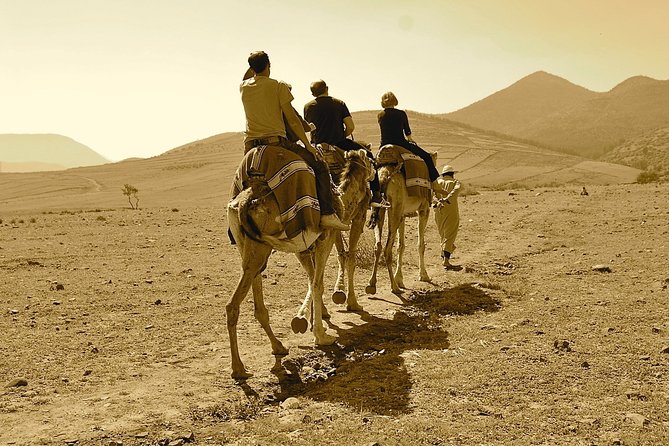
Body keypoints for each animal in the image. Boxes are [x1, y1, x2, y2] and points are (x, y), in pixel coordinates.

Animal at [226, 148, 374, 379]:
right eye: (369, 160)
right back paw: (239, 368)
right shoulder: (324, 238)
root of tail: (241, 204)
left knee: (257, 303)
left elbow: (312, 280)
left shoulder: (303, 247)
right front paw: (322, 335)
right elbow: (317, 283)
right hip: (259, 249)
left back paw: (278, 346)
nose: (374, 175)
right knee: (232, 305)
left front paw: (313, 321)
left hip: (248, 246)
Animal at [365, 147, 437, 294]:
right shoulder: (423, 210)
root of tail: (385, 176)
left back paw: (371, 284)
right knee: (387, 249)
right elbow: (421, 245)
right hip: (395, 209)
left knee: (378, 246)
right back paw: (394, 287)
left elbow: (401, 246)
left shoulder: (403, 214)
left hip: (381, 208)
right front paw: (424, 275)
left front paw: (400, 279)